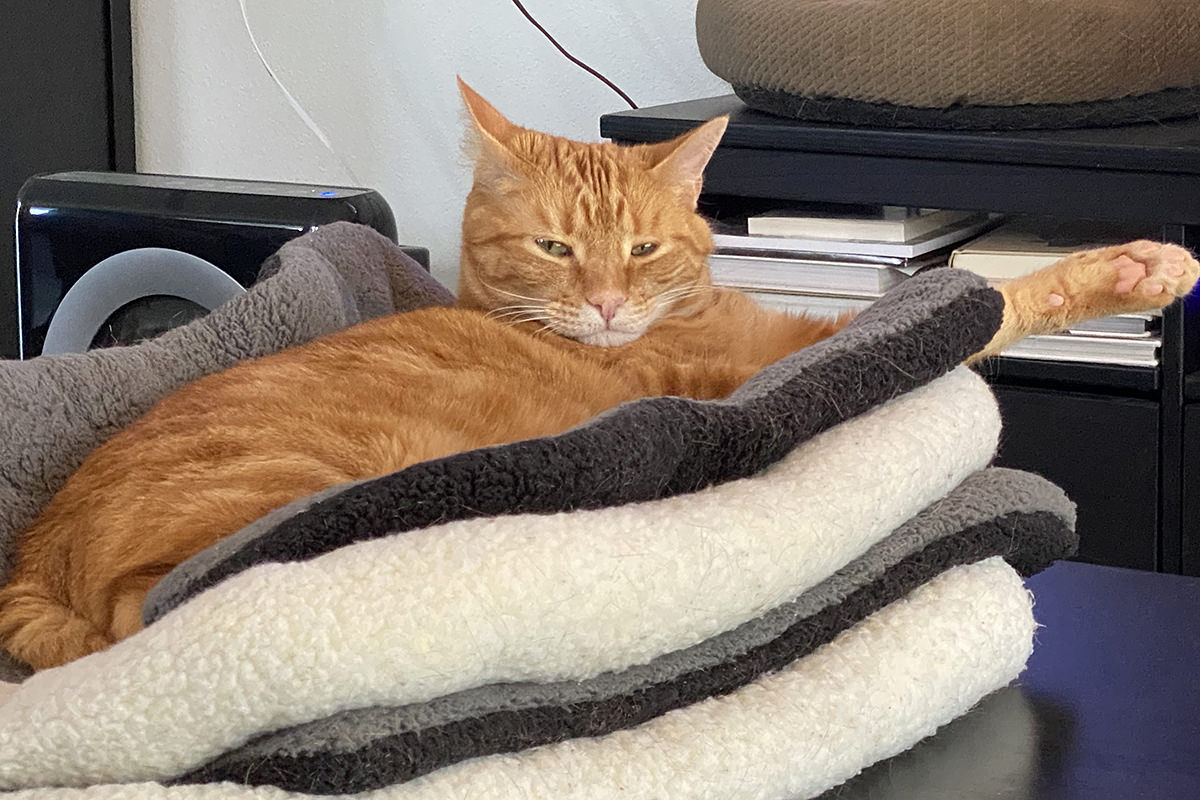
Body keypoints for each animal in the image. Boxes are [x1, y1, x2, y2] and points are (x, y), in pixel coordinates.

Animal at [0, 81, 1195, 671]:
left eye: (645, 248)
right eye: (557, 250)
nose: (612, 304)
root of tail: (35, 549)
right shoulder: (785, 352)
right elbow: (977, 301)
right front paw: (1135, 265)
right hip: (280, 518)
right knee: (164, 611)